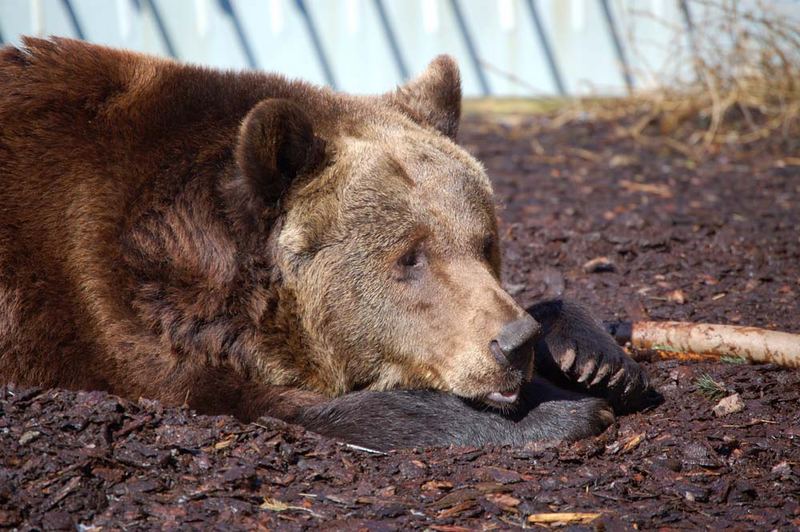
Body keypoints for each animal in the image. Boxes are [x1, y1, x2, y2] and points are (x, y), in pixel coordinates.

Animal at [0, 37, 648, 448]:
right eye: (409, 257)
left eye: (485, 242)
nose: (513, 343)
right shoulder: (122, 315)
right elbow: (314, 405)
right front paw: (563, 411)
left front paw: (595, 360)